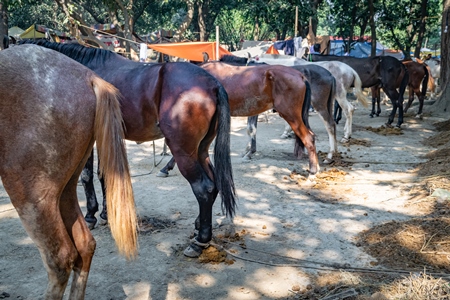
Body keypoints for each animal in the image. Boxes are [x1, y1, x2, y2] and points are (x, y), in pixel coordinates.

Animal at [21, 39, 237, 258]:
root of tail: (212, 83)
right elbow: (103, 175)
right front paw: (105, 214)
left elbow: (87, 176)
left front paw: (91, 215)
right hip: (199, 150)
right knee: (214, 182)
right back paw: (198, 225)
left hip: (183, 151)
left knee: (203, 188)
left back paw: (200, 240)